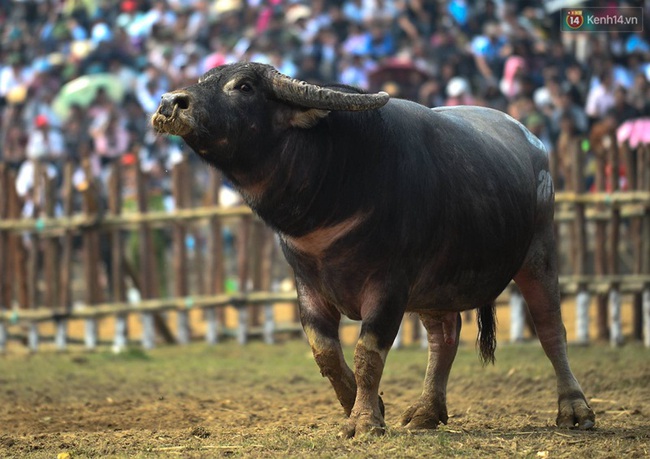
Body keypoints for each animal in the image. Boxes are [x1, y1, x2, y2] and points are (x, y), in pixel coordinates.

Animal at [151, 62, 592, 438]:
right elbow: (325, 353)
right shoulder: (307, 283)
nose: (169, 103)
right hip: (436, 285)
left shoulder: (389, 285)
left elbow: (368, 353)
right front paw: (365, 407)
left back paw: (575, 410)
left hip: (539, 252)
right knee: (444, 337)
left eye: (243, 86)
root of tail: (533, 143)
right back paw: (427, 412)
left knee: (550, 327)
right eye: (205, 79)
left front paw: (364, 421)